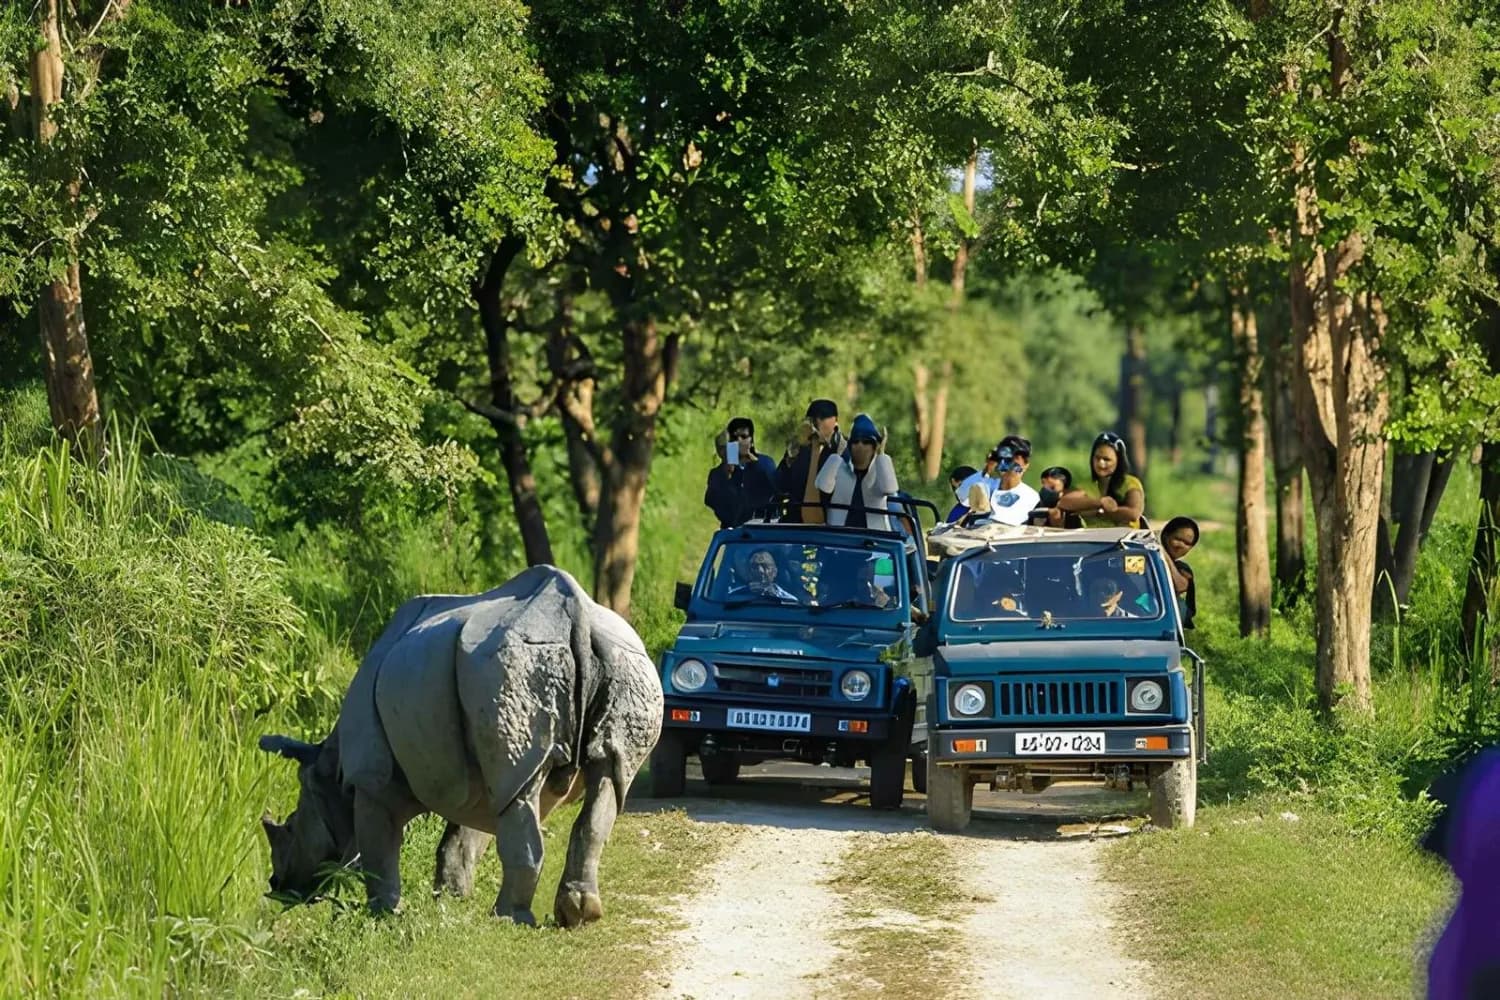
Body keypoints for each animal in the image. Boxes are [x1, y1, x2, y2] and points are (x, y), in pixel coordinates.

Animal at [258, 564, 663, 927]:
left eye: (291, 826)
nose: (276, 886)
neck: (330, 765)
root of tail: (577, 616)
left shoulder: (372, 777)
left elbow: (379, 851)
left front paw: (382, 915)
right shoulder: (479, 774)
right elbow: (467, 838)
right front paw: (452, 900)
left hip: (512, 668)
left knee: (530, 796)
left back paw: (509, 919)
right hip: (624, 664)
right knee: (605, 779)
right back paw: (579, 914)